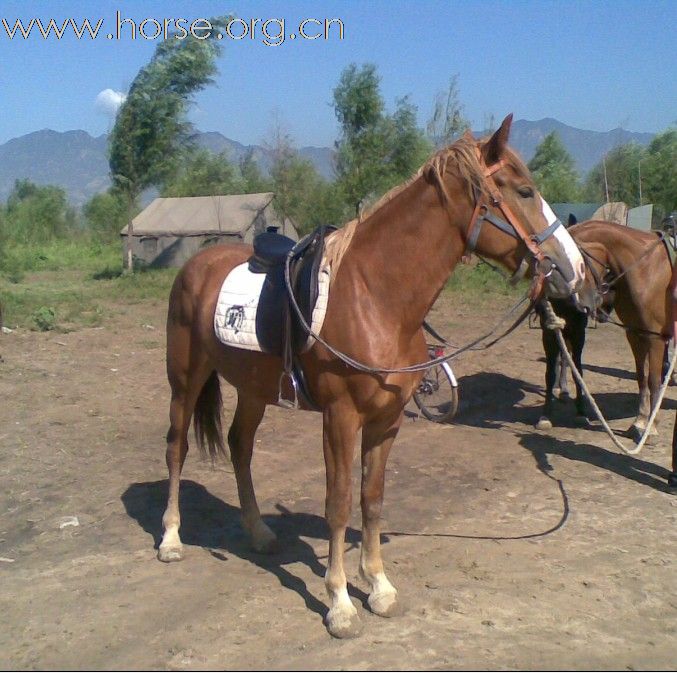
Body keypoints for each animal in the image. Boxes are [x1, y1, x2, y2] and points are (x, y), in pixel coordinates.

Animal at [157, 115, 580, 636]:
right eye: (524, 191)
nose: (575, 268)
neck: (376, 296)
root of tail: (195, 265)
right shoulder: (341, 418)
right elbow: (339, 502)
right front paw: (339, 602)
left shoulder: (387, 419)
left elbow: (372, 498)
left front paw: (378, 586)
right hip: (186, 378)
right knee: (177, 447)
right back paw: (171, 539)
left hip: (254, 388)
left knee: (240, 446)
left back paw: (258, 532)